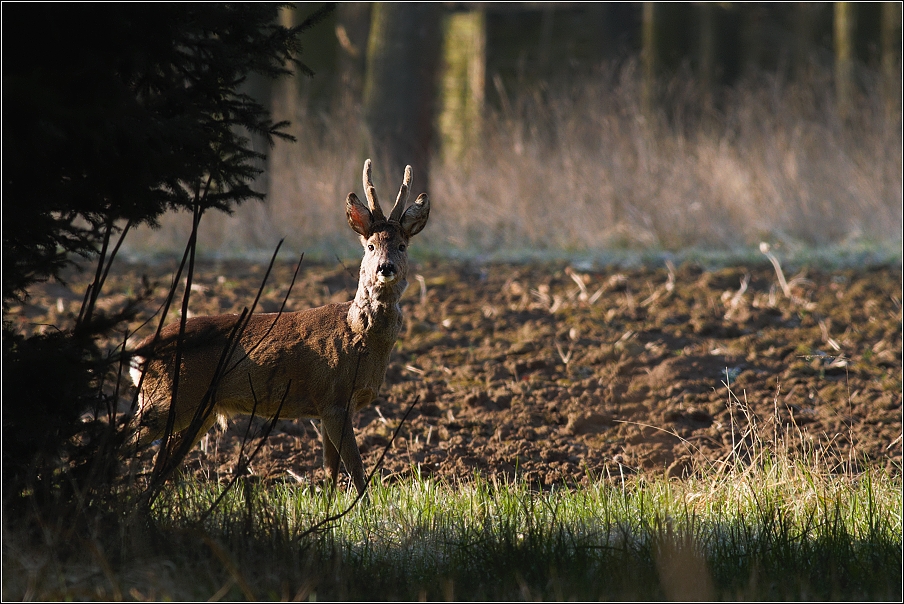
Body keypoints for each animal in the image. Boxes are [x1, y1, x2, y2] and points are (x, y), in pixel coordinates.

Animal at [131, 160, 430, 496]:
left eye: (402, 246)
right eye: (370, 245)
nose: (385, 268)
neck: (357, 334)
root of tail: (137, 354)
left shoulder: (330, 404)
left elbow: (331, 469)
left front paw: (330, 502)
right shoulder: (334, 395)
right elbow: (356, 468)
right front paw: (361, 505)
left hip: (198, 409)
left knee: (162, 460)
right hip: (169, 399)